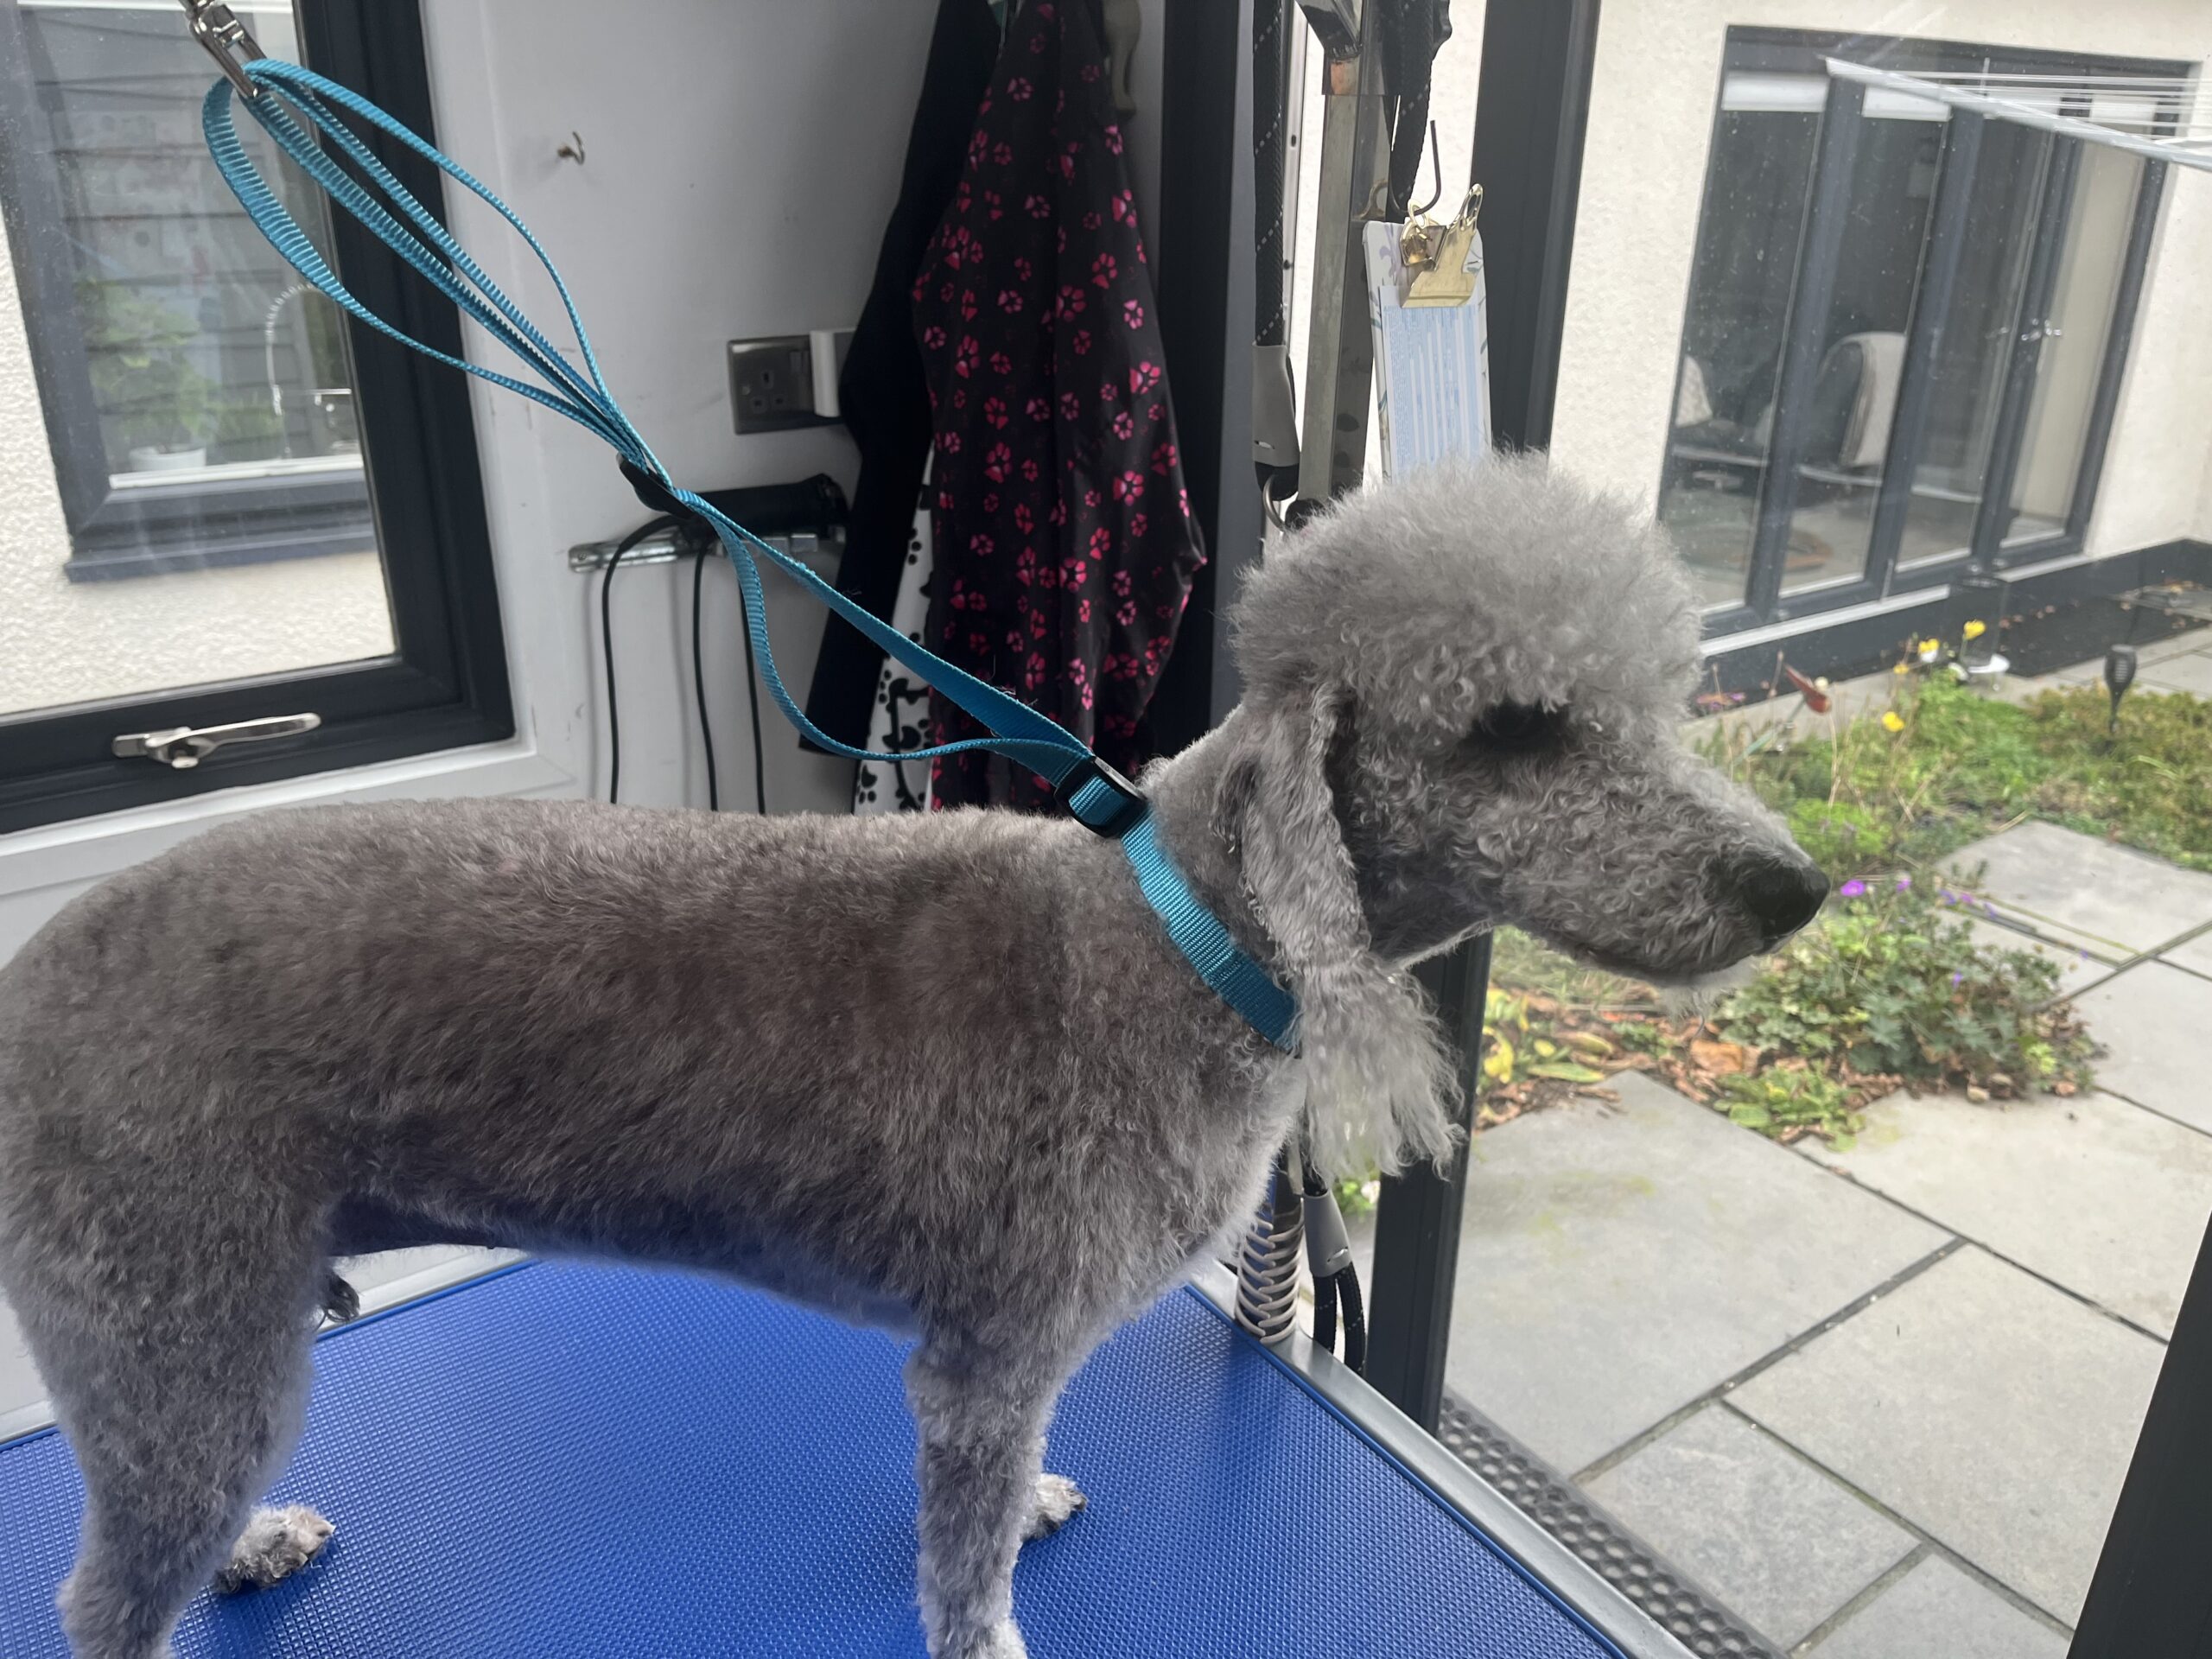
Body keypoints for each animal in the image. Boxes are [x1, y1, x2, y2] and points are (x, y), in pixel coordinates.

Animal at [0, 455, 1825, 1659]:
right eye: (1517, 730)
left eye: (1662, 709)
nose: (1794, 887)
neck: (1177, 944)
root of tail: (27, 986)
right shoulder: (989, 1356)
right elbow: (962, 1570)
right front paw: (992, 1617)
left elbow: (998, 1510)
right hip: (176, 1314)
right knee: (105, 1590)